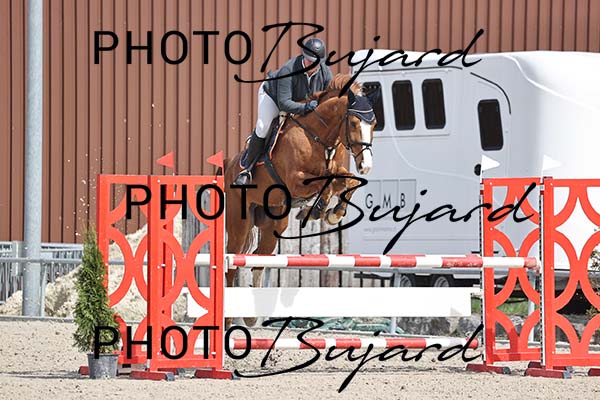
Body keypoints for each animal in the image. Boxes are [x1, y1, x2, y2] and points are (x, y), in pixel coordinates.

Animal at [223, 74, 378, 324]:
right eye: (354, 123)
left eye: (374, 125)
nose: (366, 166)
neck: (319, 137)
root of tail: (229, 165)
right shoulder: (296, 181)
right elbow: (326, 185)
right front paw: (317, 210)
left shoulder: (336, 173)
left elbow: (349, 182)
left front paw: (332, 214)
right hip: (240, 224)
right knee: (233, 265)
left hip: (275, 223)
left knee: (258, 258)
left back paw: (251, 317)